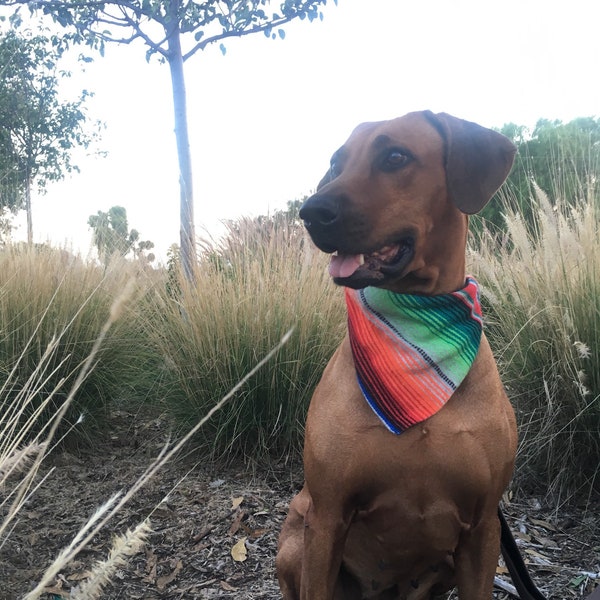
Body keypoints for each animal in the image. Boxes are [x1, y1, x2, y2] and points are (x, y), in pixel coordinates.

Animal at [278, 112, 516, 600]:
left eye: (394, 157)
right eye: (337, 163)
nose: (312, 212)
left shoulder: (484, 527)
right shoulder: (327, 518)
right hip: (294, 541)